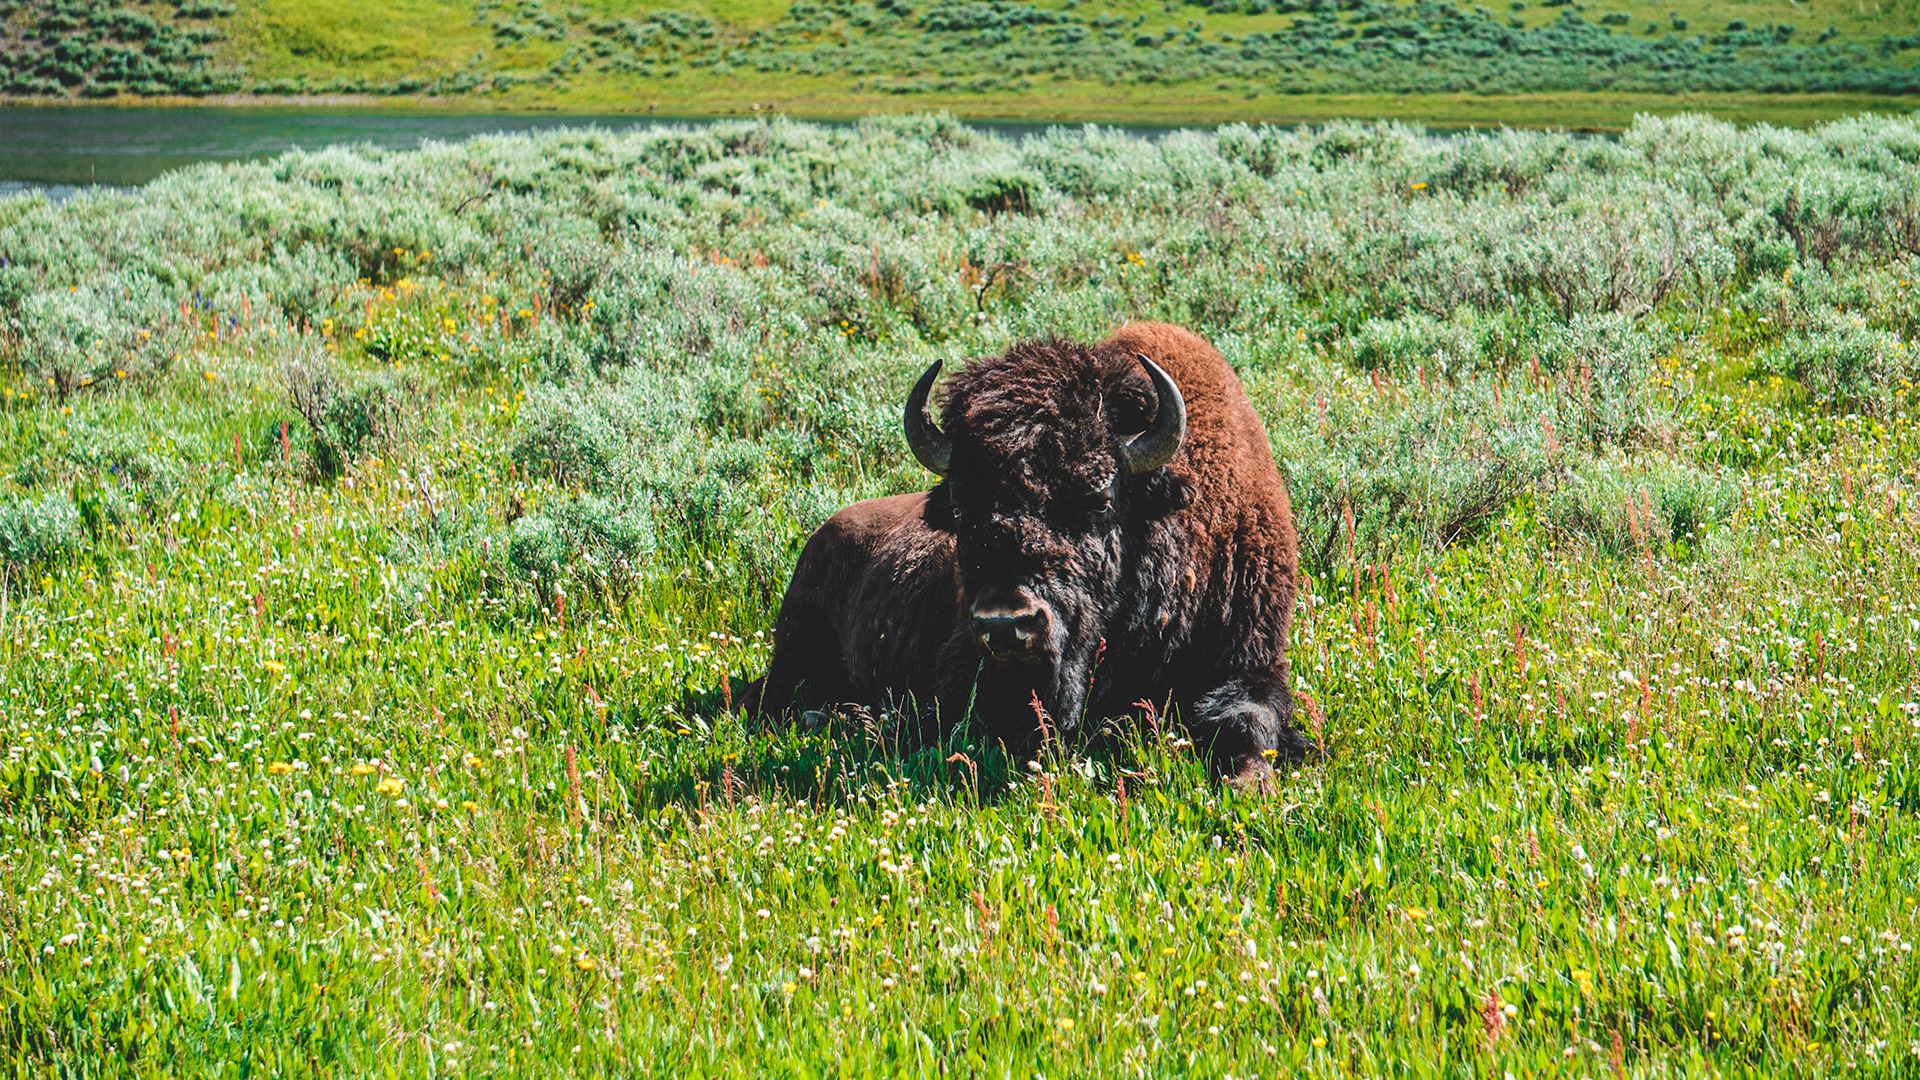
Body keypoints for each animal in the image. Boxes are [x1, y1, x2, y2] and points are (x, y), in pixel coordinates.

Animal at [744, 322, 1312, 786]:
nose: (1006, 623)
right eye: (960, 507)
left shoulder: (1252, 662)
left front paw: (1250, 780)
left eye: (1100, 498)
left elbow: (1250, 722)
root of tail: (825, 533)